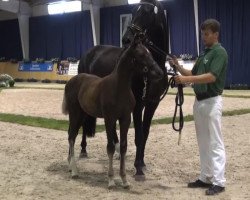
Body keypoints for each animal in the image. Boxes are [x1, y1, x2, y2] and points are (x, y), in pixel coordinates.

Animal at [77, 0, 169, 181]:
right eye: (133, 11)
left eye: (147, 12)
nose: (127, 38)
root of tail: (89, 52)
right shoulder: (138, 104)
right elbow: (138, 135)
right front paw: (138, 168)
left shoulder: (152, 103)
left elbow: (145, 133)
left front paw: (142, 163)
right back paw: (84, 149)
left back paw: (117, 148)